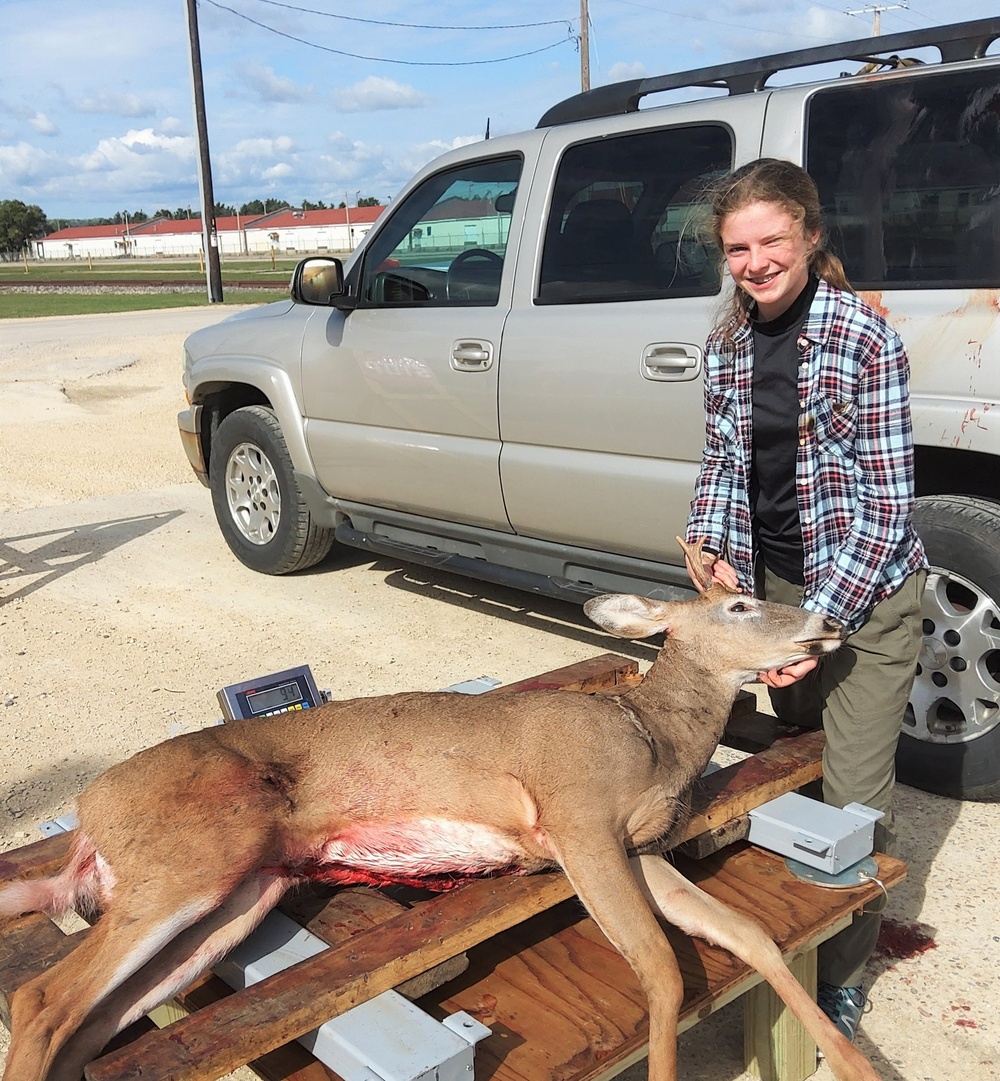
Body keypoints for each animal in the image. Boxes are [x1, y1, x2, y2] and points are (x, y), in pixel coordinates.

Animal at [0, 540, 882, 1081]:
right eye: (739, 606)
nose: (828, 620)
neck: (652, 735)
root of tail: (86, 809)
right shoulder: (577, 817)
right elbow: (662, 969)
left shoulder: (641, 849)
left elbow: (749, 933)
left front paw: (857, 1062)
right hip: (193, 854)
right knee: (40, 999)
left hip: (241, 892)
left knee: (90, 1021)